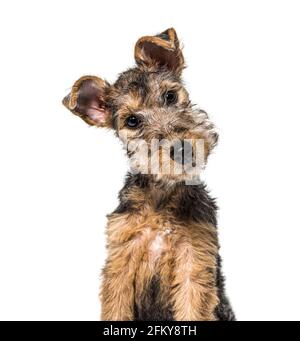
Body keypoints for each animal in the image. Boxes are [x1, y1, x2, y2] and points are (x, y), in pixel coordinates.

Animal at [62, 27, 234, 320]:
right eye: (132, 121)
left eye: (170, 96)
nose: (182, 149)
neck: (162, 194)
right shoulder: (120, 260)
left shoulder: (194, 259)